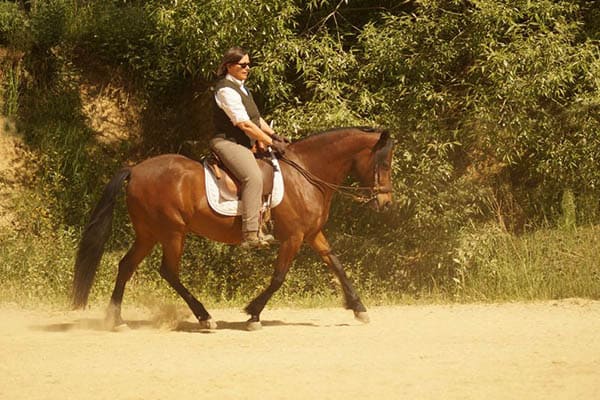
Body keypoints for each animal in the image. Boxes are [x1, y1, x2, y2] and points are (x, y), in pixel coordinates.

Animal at [71, 126, 394, 330]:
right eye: (385, 162)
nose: (387, 203)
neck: (306, 174)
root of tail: (136, 170)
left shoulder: (312, 234)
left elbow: (336, 264)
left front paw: (359, 309)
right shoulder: (293, 237)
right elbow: (279, 277)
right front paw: (253, 314)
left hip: (148, 234)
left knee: (126, 266)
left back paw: (117, 320)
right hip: (172, 233)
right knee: (169, 272)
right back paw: (204, 318)